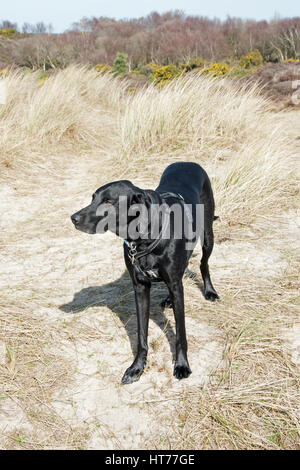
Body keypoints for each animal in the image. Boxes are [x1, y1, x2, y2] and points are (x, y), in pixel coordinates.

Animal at [71, 163, 219, 384]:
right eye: (93, 198)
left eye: (108, 201)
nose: (73, 218)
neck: (143, 239)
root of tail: (188, 162)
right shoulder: (140, 287)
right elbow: (141, 335)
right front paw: (137, 368)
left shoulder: (174, 285)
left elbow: (180, 333)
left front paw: (182, 365)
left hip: (208, 234)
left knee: (203, 264)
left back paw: (210, 291)